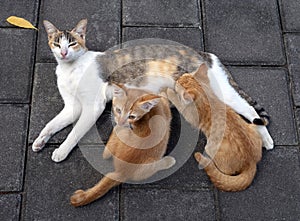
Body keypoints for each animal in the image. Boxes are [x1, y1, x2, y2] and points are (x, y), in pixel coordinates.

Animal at [32, 19, 274, 161]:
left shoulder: (93, 105)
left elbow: (74, 133)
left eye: (72, 43)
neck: (70, 70)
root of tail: (203, 54)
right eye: (57, 43)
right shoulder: (72, 106)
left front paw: (61, 151)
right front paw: (40, 140)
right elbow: (51, 124)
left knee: (250, 110)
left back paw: (266, 139)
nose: (64, 53)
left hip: (217, 92)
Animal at [166, 63, 262, 191]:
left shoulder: (190, 116)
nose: (176, 79)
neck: (206, 95)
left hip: (210, 148)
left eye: (178, 83)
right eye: (182, 77)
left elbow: (177, 101)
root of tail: (251, 162)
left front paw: (169, 91)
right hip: (253, 127)